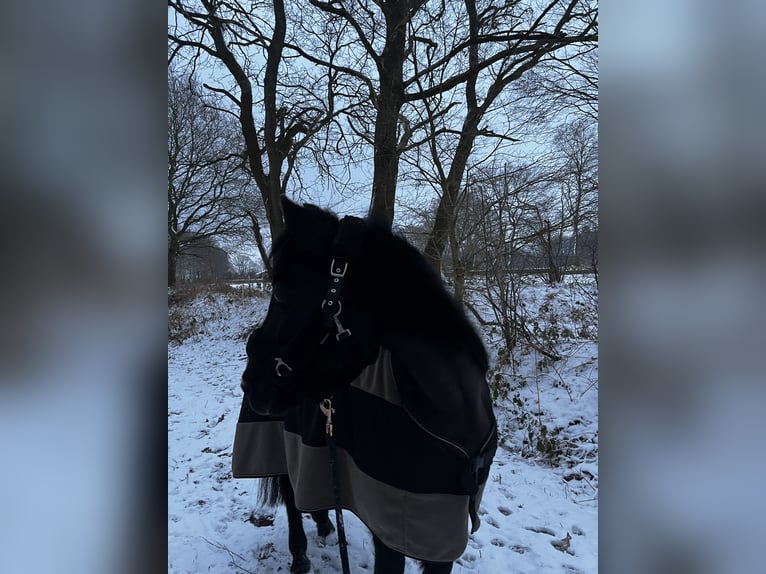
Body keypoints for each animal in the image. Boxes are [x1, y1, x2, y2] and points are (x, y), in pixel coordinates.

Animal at [237, 197, 497, 574]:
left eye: (282, 292)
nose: (250, 383)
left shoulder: (441, 536)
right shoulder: (390, 534)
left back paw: (325, 525)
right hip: (279, 443)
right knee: (291, 497)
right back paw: (299, 555)